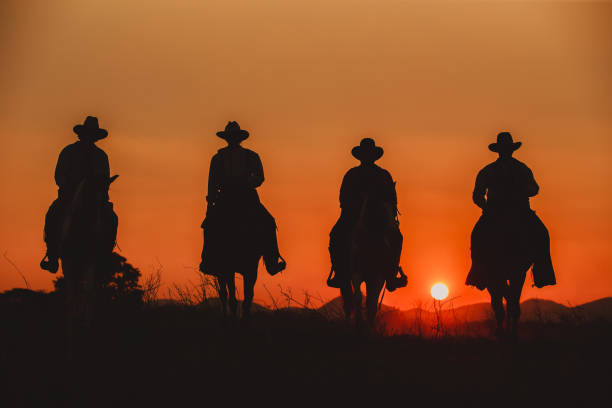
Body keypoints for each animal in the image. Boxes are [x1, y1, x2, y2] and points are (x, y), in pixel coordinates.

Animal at [340, 195, 396, 328]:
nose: (393, 233)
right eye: (381, 208)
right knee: (348, 301)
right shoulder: (356, 273)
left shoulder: (378, 276)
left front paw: (370, 328)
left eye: (393, 208)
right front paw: (359, 323)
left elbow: (372, 303)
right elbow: (358, 297)